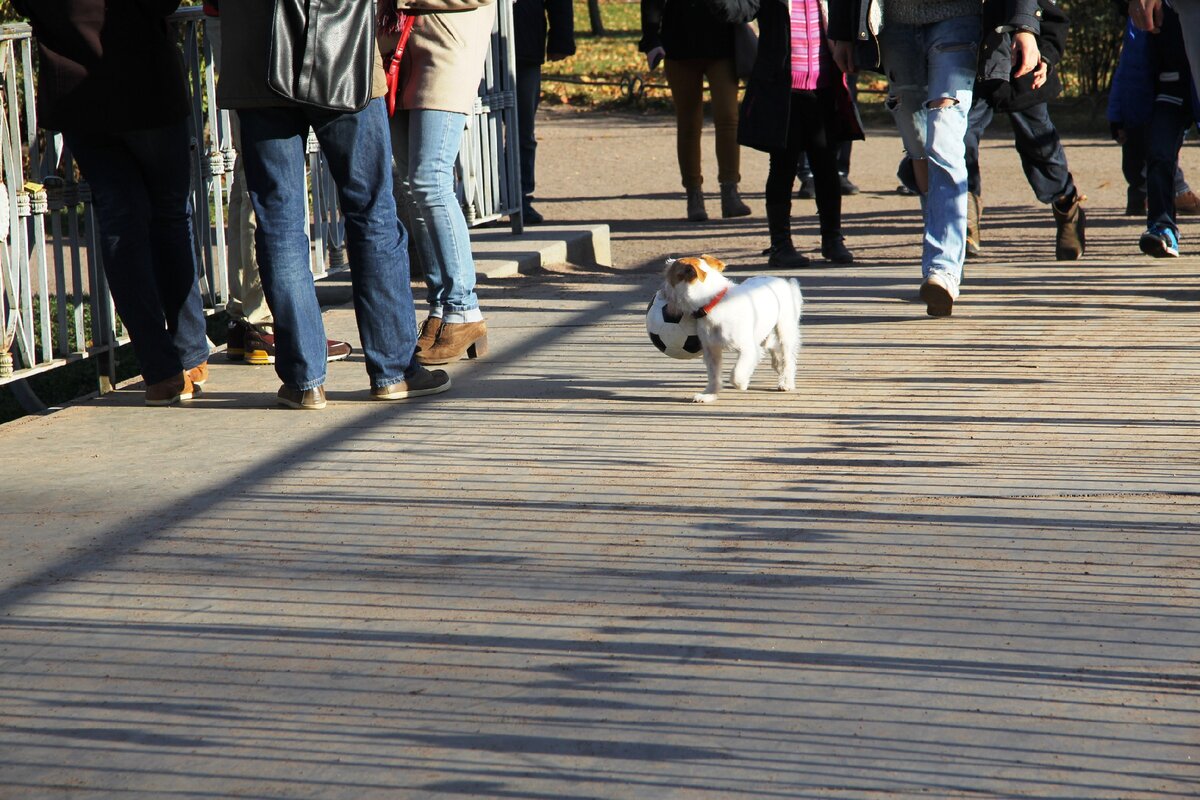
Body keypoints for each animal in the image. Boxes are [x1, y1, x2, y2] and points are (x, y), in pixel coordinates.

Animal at [662, 255, 801, 402]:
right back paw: (778, 364)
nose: (661, 291)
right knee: (772, 345)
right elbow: (714, 375)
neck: (712, 303)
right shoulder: (711, 350)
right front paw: (709, 394)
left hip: (785, 331)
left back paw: (786, 382)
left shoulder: (748, 350)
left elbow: (736, 374)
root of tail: (784, 282)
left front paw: (742, 383)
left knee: (788, 359)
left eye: (668, 274)